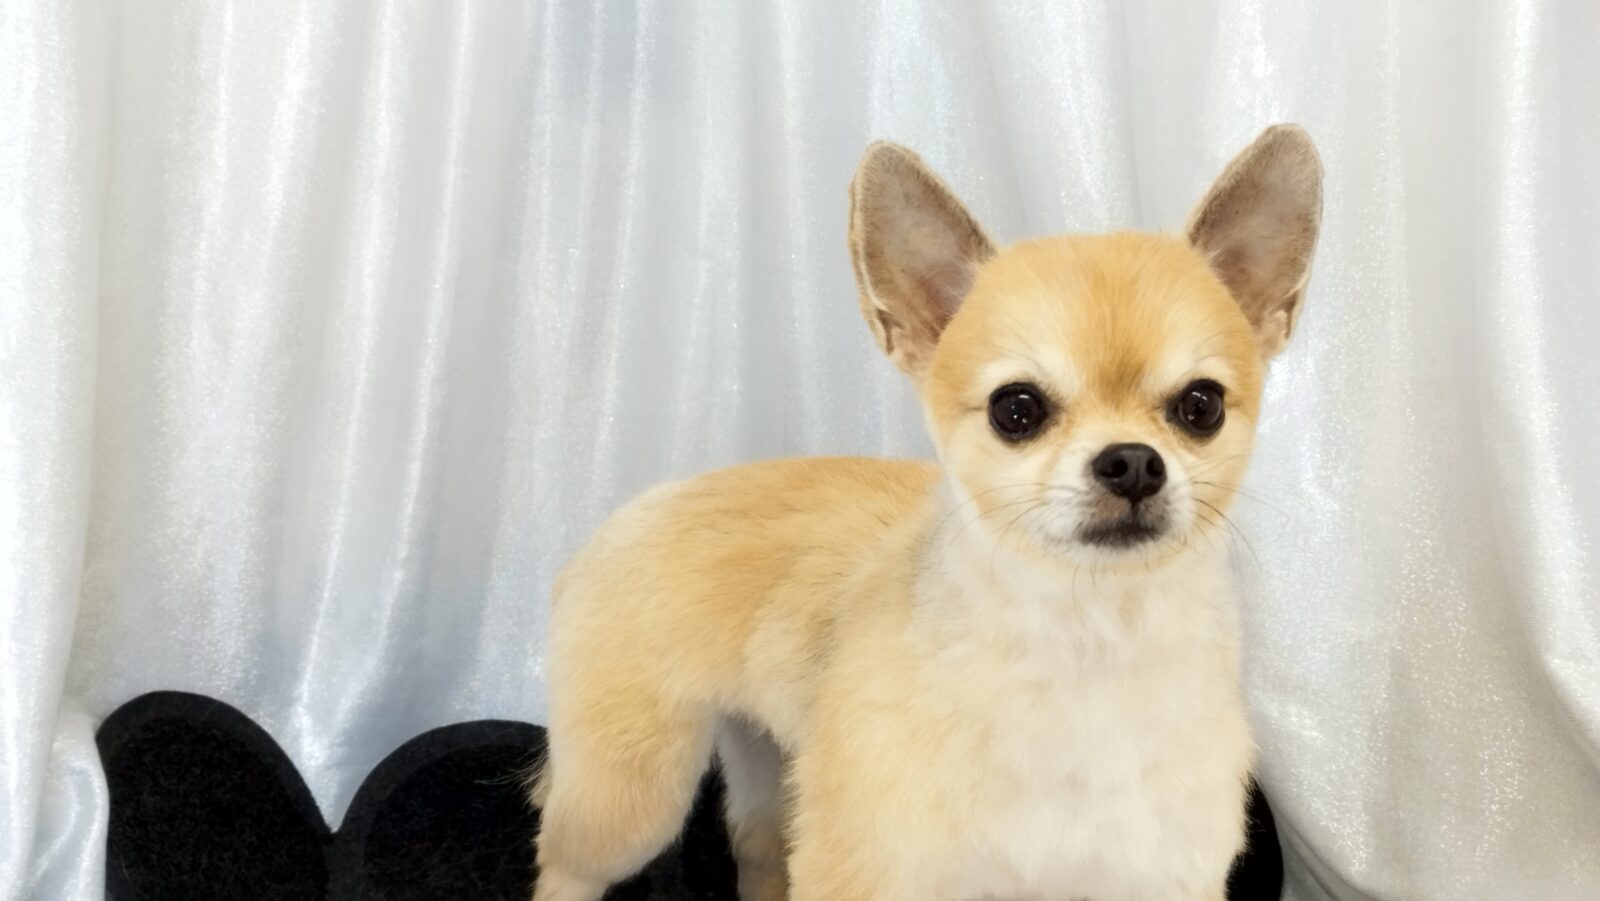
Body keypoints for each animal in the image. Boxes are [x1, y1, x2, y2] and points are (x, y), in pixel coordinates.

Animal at [530, 125, 1323, 901]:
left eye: (1201, 406)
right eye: (1017, 409)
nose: (1131, 461)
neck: (1085, 639)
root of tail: (638, 506)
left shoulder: (1156, 868)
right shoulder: (865, 864)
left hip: (769, 762)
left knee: (757, 855)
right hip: (631, 796)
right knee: (568, 866)